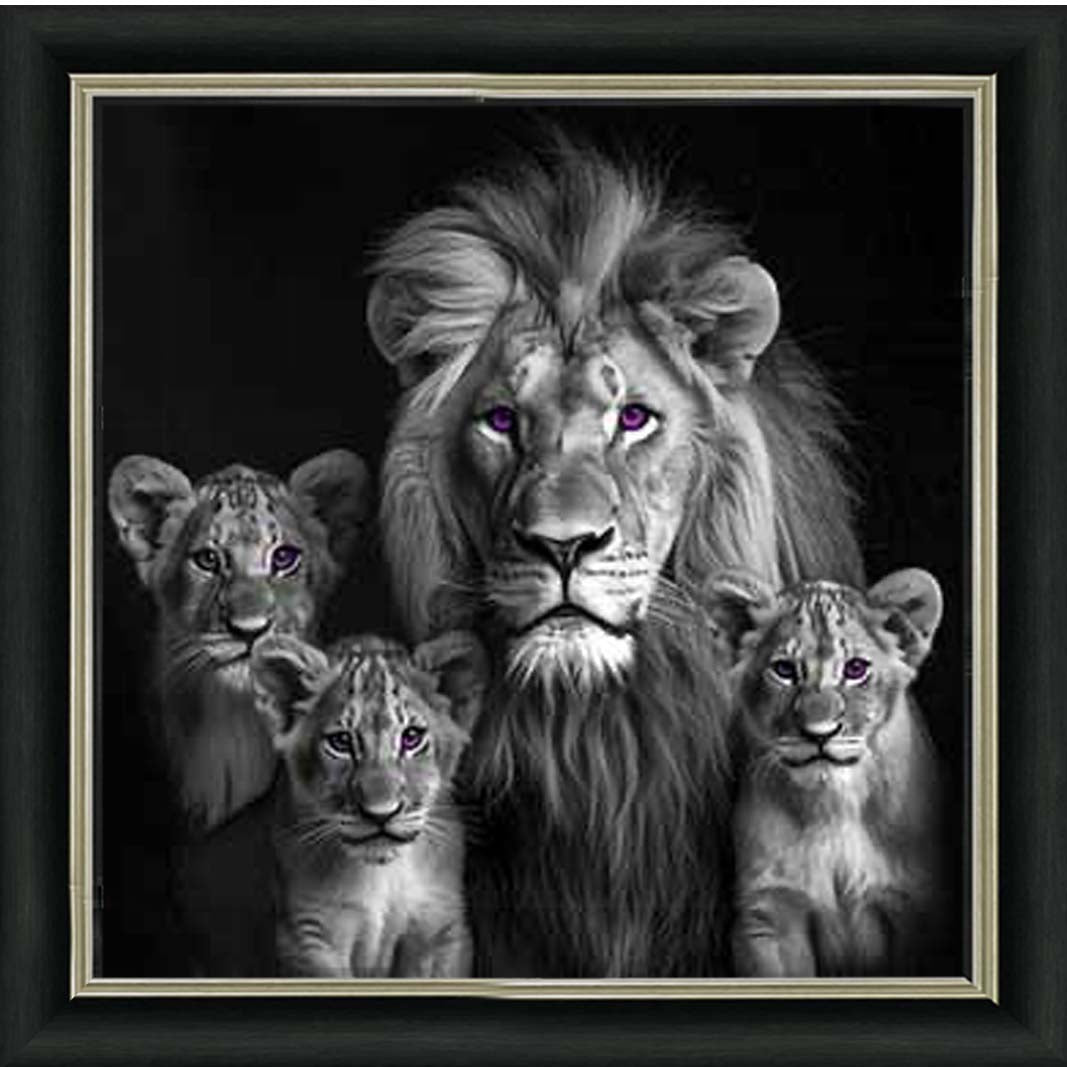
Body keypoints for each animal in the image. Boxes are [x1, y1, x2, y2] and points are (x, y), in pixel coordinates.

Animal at [704, 568, 945, 977]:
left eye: (856, 669)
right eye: (784, 670)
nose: (820, 733)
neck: (834, 805)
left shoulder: (915, 910)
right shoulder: (770, 913)